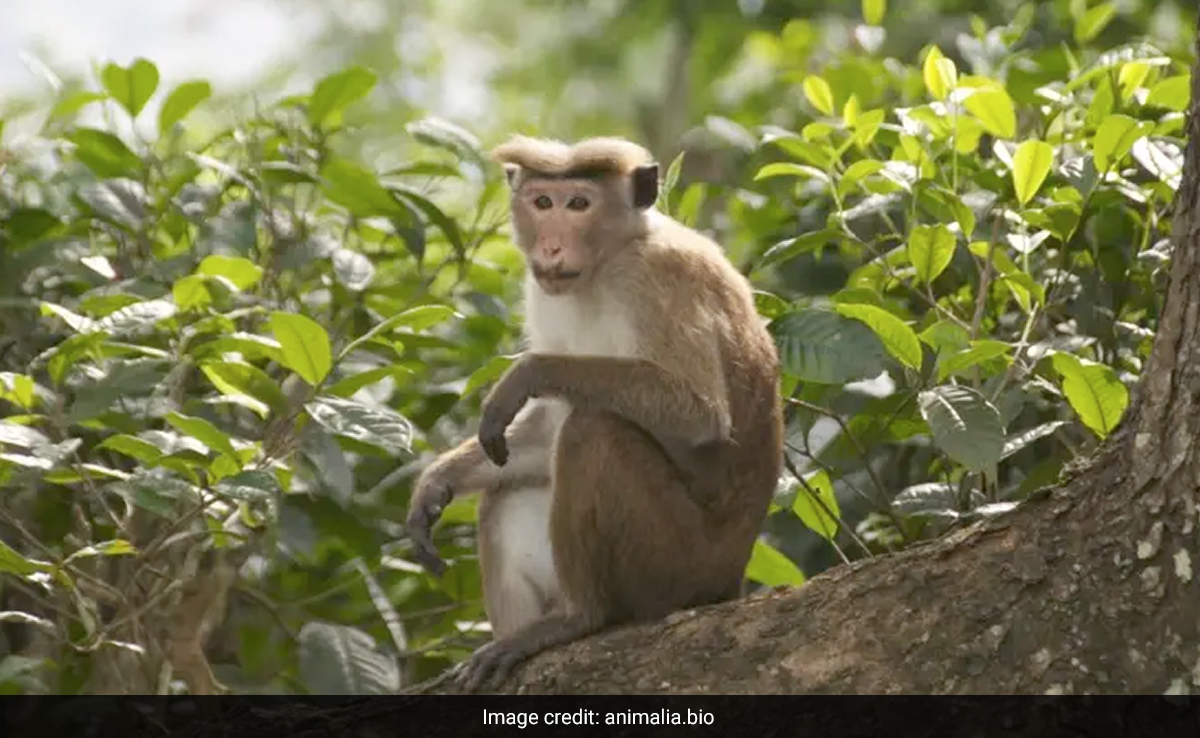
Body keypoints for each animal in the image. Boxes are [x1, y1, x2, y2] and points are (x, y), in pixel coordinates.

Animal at [405, 134, 783, 691]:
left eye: (579, 204)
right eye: (543, 202)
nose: (550, 247)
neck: (609, 261)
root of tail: (730, 578)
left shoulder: (659, 278)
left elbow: (699, 414)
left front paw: (526, 373)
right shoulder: (542, 292)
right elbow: (540, 435)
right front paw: (437, 481)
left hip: (676, 564)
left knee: (594, 431)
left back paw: (577, 617)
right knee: (507, 494)